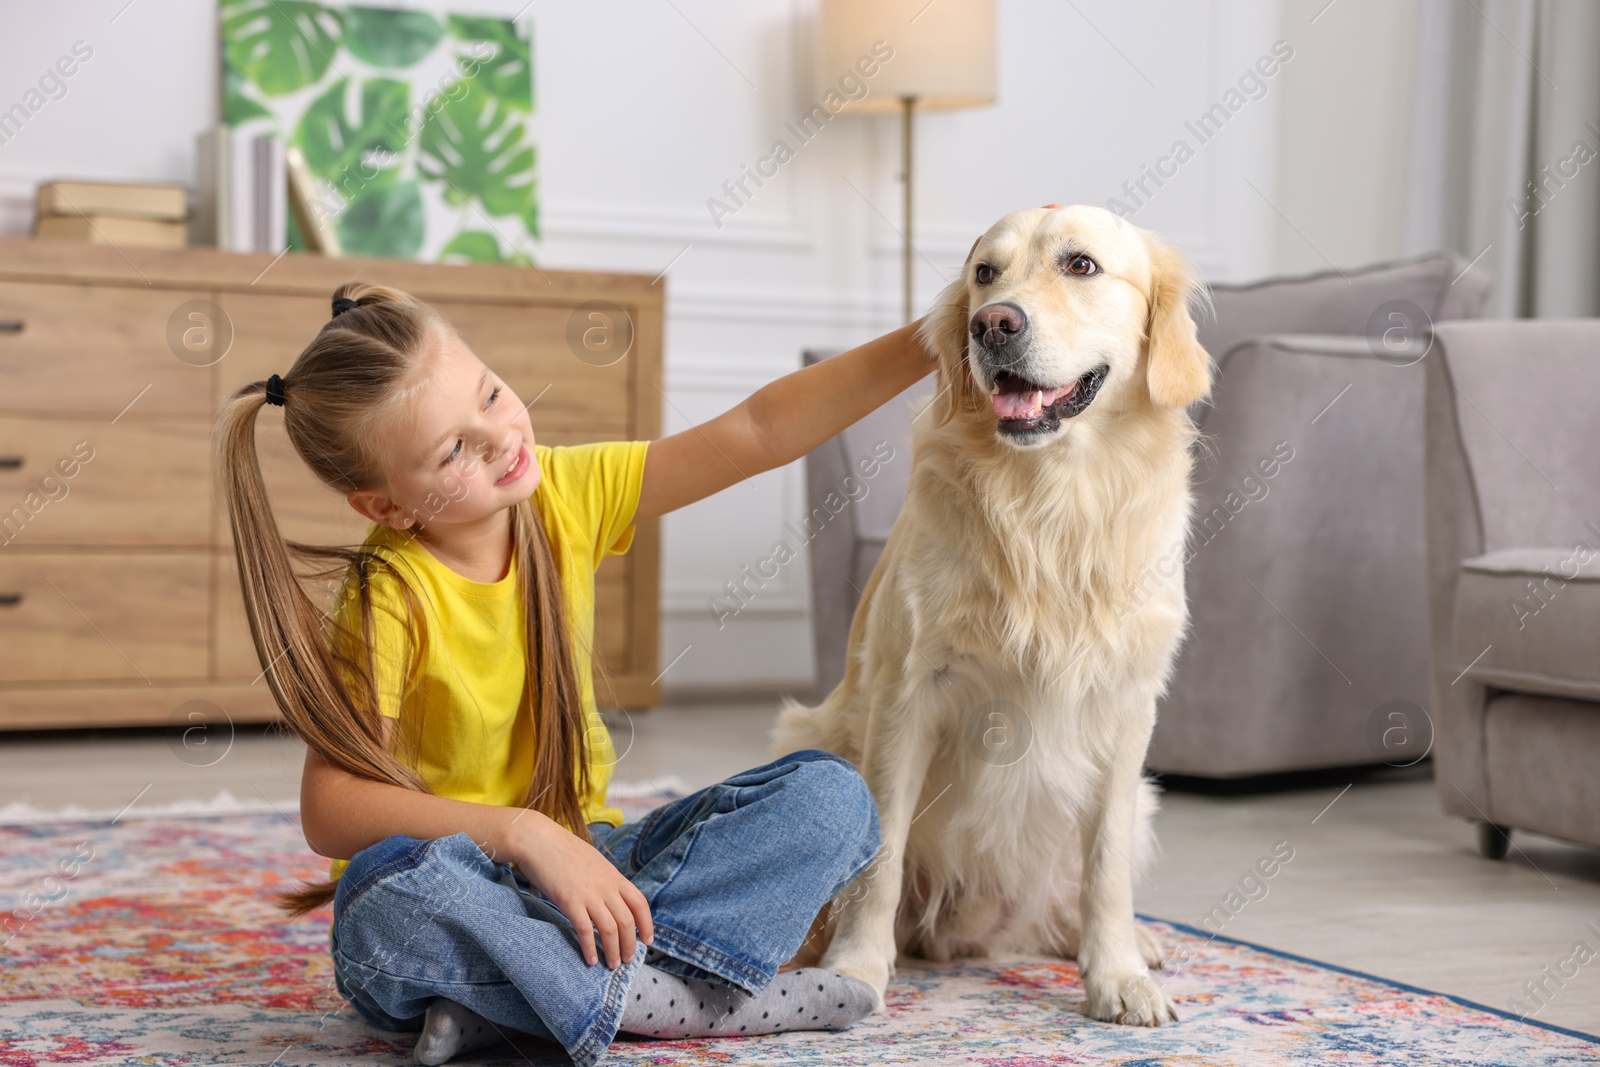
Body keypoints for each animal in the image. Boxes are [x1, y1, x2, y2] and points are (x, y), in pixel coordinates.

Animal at [768, 202, 1203, 1023]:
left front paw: (1119, 975)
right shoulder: (908, 693)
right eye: (985, 274)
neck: (1051, 499)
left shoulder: (1129, 705)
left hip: (1143, 797)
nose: (993, 323)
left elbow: (1105, 870)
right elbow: (882, 853)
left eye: (1081, 265)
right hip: (813, 736)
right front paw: (856, 969)